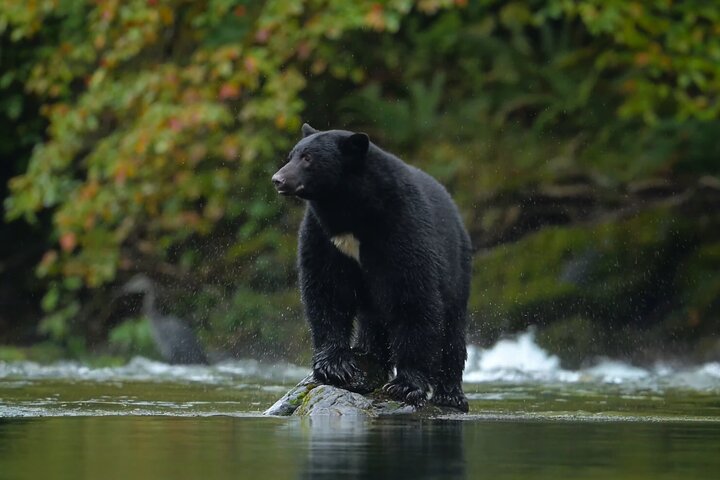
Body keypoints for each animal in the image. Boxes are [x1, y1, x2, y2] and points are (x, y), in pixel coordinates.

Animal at [272, 123, 472, 411]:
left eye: (308, 158)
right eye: (291, 155)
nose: (278, 179)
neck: (352, 213)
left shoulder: (402, 227)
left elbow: (413, 296)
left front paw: (405, 385)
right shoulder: (322, 235)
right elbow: (326, 290)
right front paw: (335, 366)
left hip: (457, 268)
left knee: (452, 327)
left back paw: (451, 394)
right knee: (373, 317)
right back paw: (369, 354)